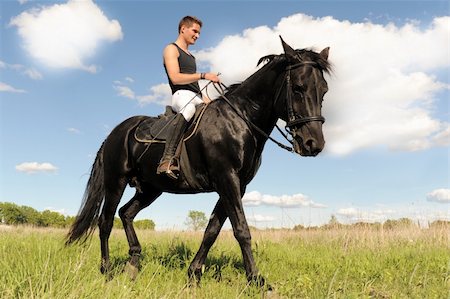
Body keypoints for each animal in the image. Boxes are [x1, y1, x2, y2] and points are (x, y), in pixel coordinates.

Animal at [66, 37, 330, 286]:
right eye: (298, 88)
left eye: (324, 90)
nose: (313, 144)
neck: (240, 120)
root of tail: (115, 132)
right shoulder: (227, 179)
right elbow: (241, 230)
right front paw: (256, 279)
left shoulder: (237, 185)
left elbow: (212, 230)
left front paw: (194, 273)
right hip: (116, 182)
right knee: (105, 222)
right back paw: (107, 270)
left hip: (151, 188)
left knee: (126, 213)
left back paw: (133, 263)